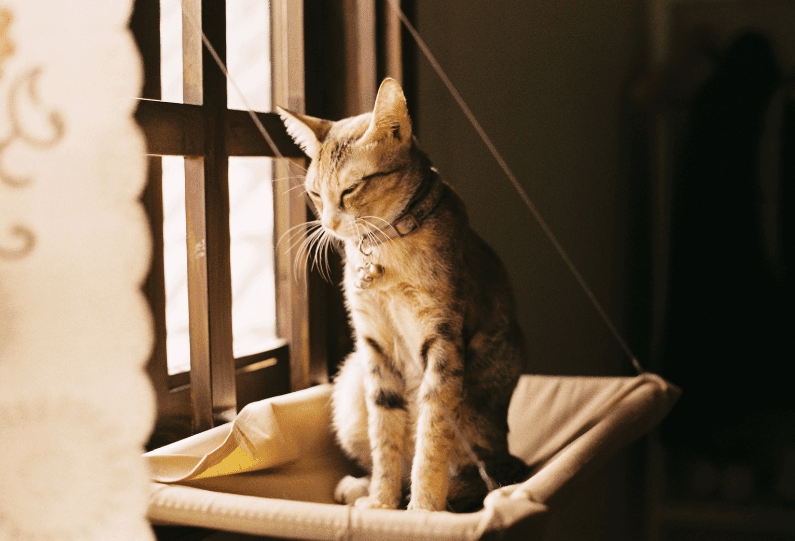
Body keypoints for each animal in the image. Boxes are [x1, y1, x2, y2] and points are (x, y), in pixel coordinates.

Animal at [278, 77, 528, 510]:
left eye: (351, 188)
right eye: (314, 194)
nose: (328, 223)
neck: (386, 246)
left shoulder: (442, 344)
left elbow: (432, 435)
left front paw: (424, 508)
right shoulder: (374, 346)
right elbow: (385, 433)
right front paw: (382, 501)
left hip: (475, 412)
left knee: (478, 478)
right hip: (350, 383)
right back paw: (363, 488)